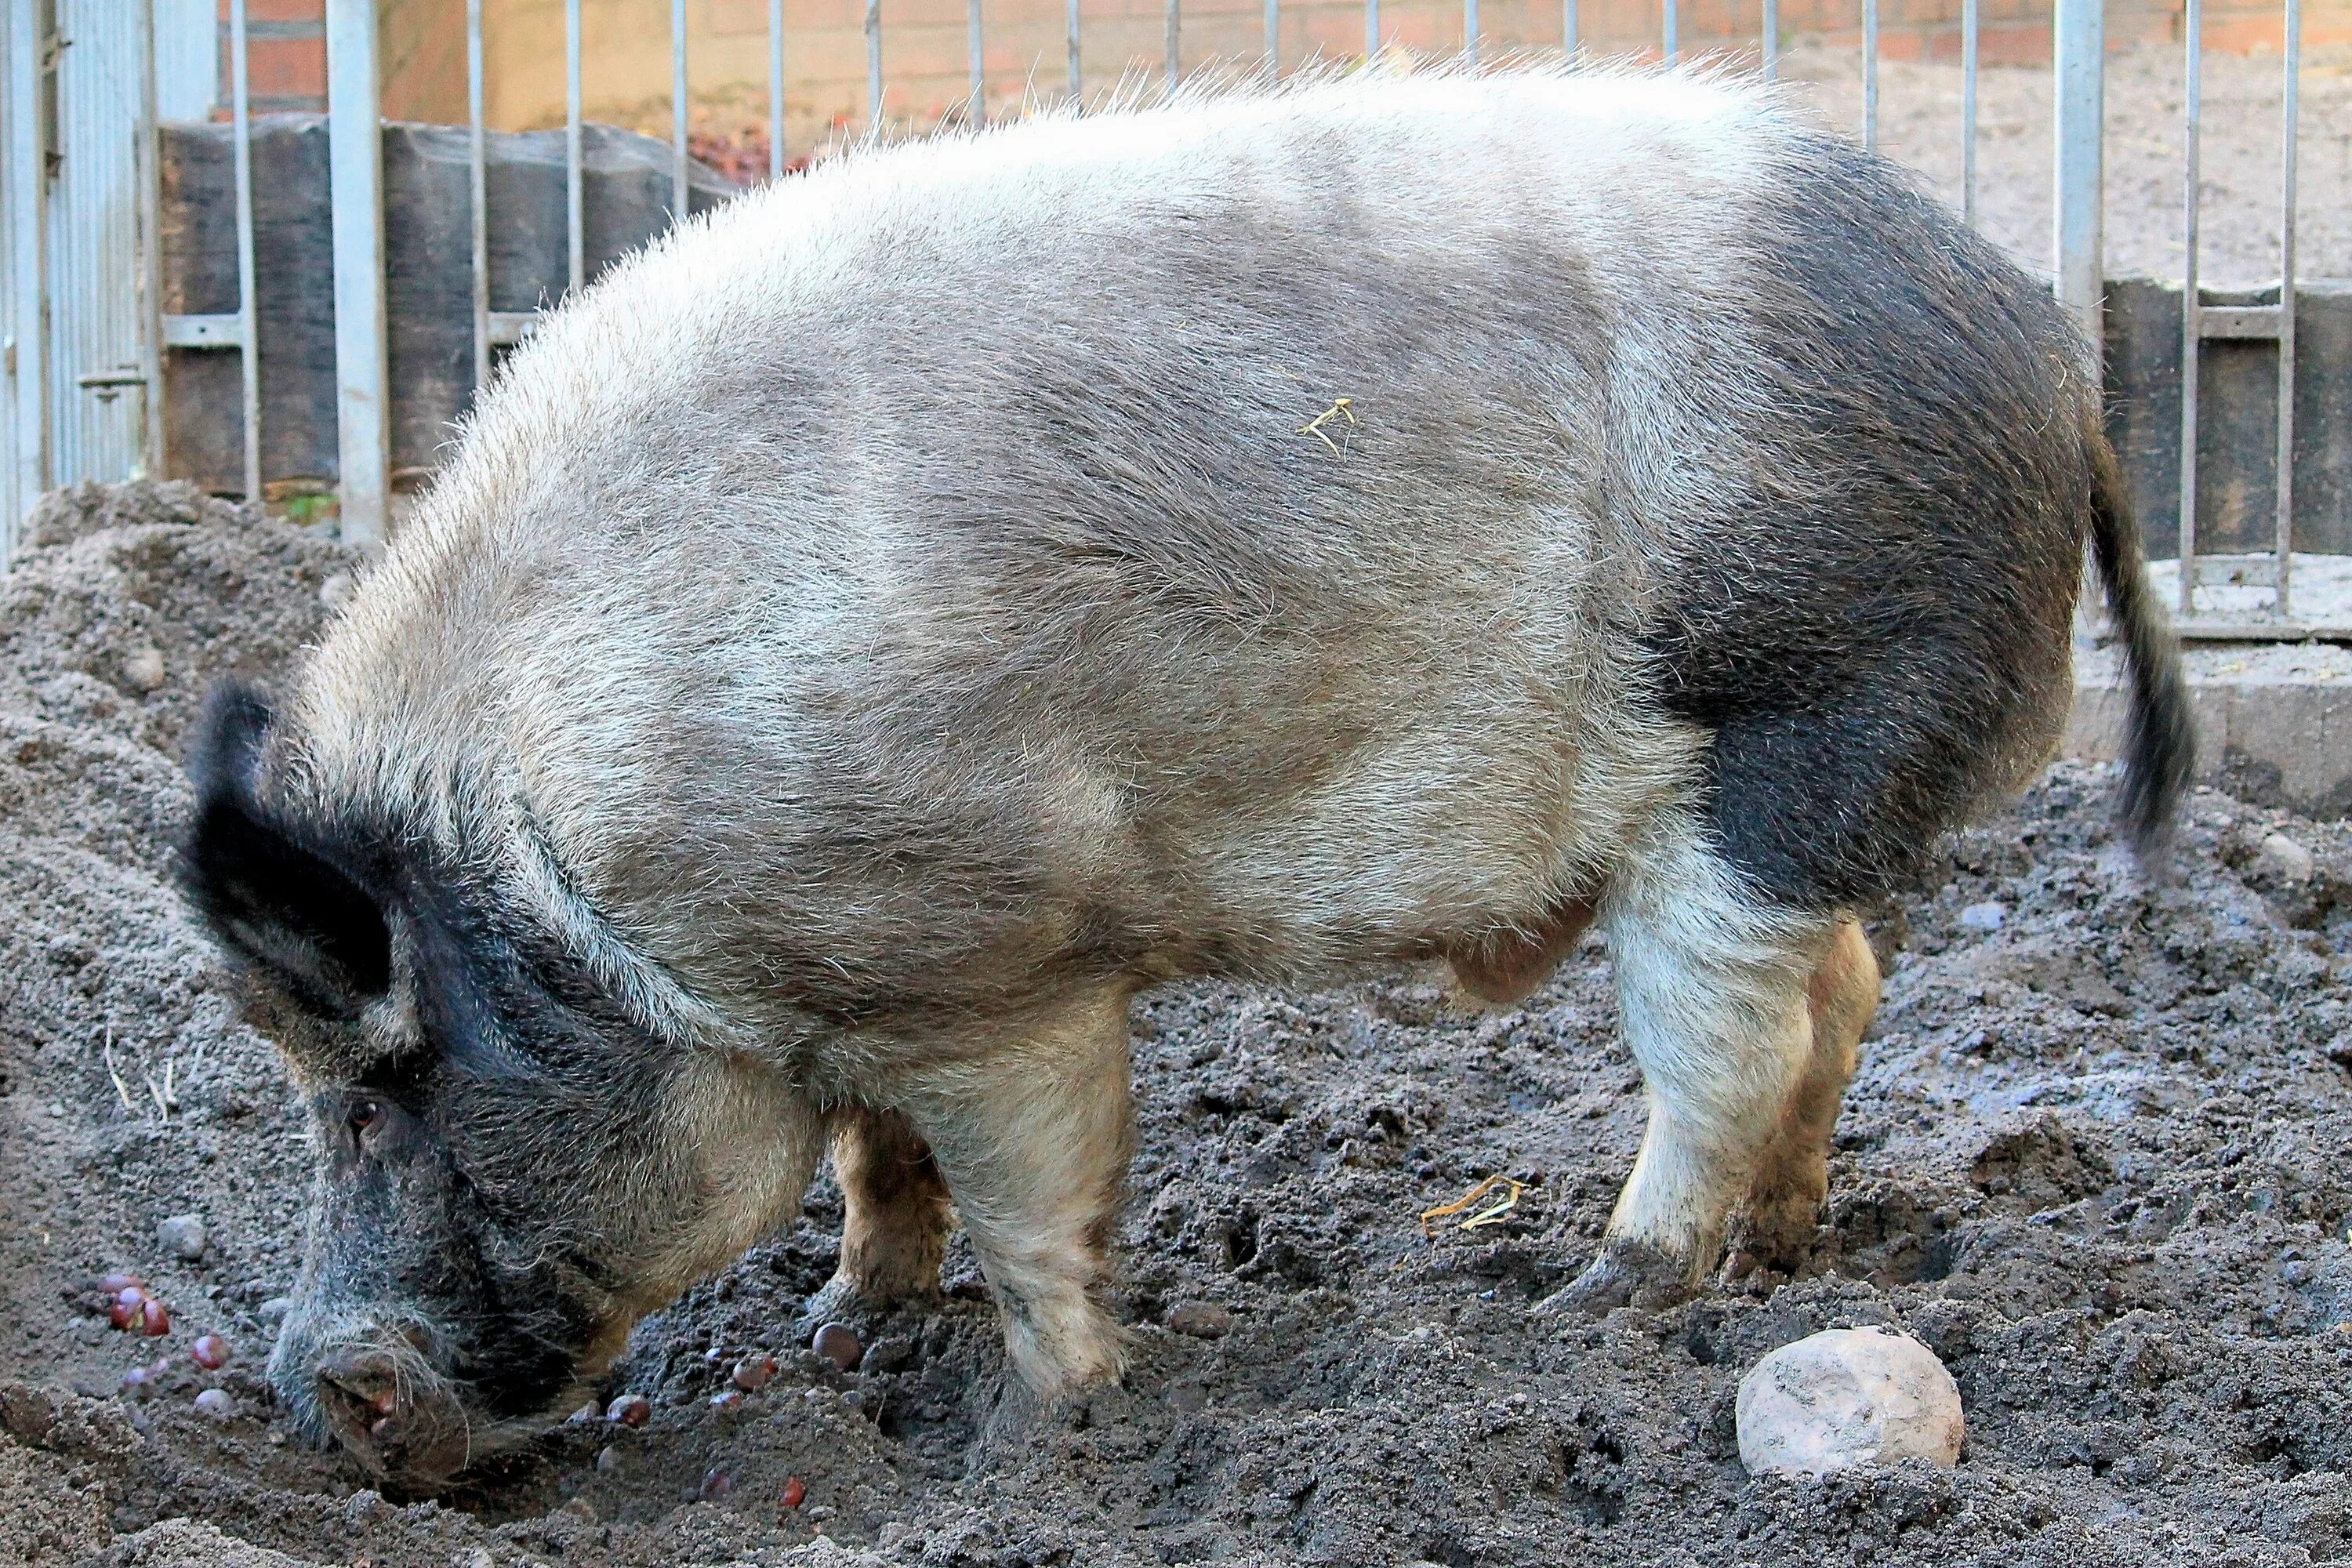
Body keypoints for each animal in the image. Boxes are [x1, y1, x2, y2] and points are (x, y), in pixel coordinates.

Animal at [179, 64, 2183, 1486]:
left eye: (376, 1098)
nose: (313, 1394)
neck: (555, 830)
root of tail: (2057, 365)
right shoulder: (854, 975)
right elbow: (873, 1159)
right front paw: (839, 1326)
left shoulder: (990, 955)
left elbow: (1026, 1196)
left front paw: (1060, 1423)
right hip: (1782, 792)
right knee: (1848, 989)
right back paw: (1779, 1243)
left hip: (1783, 737)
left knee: (1738, 1037)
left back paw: (1584, 1292)